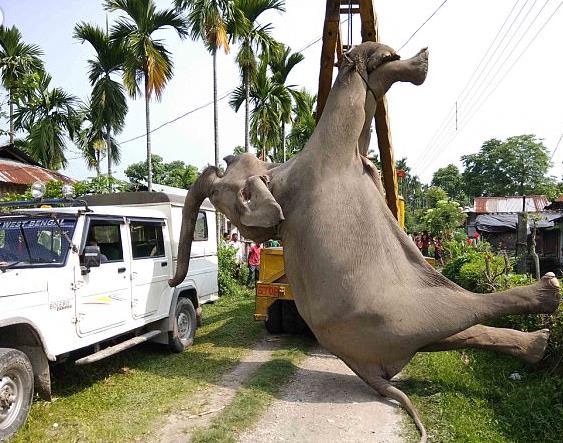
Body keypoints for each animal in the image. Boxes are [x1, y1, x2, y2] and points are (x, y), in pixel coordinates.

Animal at [170, 42, 560, 443]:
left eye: (227, 165)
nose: (222, 161)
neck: (278, 175)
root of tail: (365, 371)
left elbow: (366, 133)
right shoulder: (323, 157)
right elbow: (352, 108)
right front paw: (382, 59)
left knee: (454, 333)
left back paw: (538, 344)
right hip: (393, 318)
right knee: (461, 312)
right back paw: (548, 297)